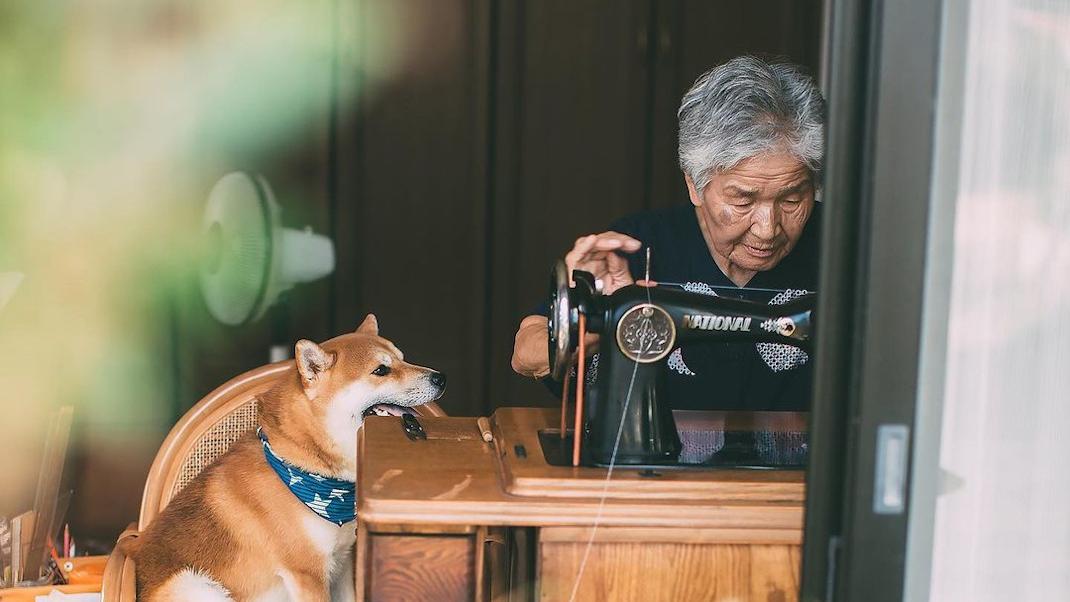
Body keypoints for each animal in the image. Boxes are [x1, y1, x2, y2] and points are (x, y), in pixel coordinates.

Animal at [123, 318, 445, 598]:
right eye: (381, 370)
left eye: (403, 359)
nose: (440, 378)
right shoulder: (307, 574)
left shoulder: (342, 563)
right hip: (196, 585)